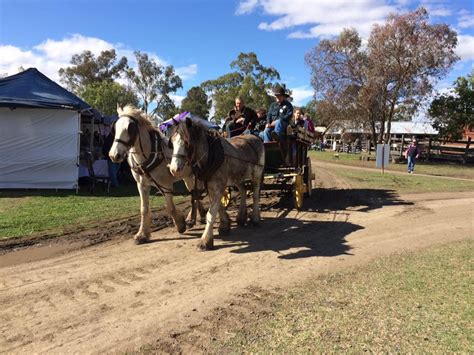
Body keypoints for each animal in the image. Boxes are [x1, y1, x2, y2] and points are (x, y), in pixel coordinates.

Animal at [109, 105, 206, 245]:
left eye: (130, 128)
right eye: (115, 128)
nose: (114, 155)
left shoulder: (166, 184)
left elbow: (170, 207)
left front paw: (180, 225)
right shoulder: (142, 185)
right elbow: (144, 209)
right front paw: (142, 234)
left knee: (197, 192)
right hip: (187, 176)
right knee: (194, 193)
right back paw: (196, 217)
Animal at [168, 117, 264, 250]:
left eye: (187, 143)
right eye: (172, 142)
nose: (173, 169)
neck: (211, 156)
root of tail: (255, 137)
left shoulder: (218, 186)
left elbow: (211, 213)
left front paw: (205, 240)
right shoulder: (211, 186)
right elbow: (218, 207)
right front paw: (224, 226)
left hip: (257, 174)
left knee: (255, 194)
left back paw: (255, 218)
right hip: (237, 177)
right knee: (243, 190)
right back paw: (241, 217)